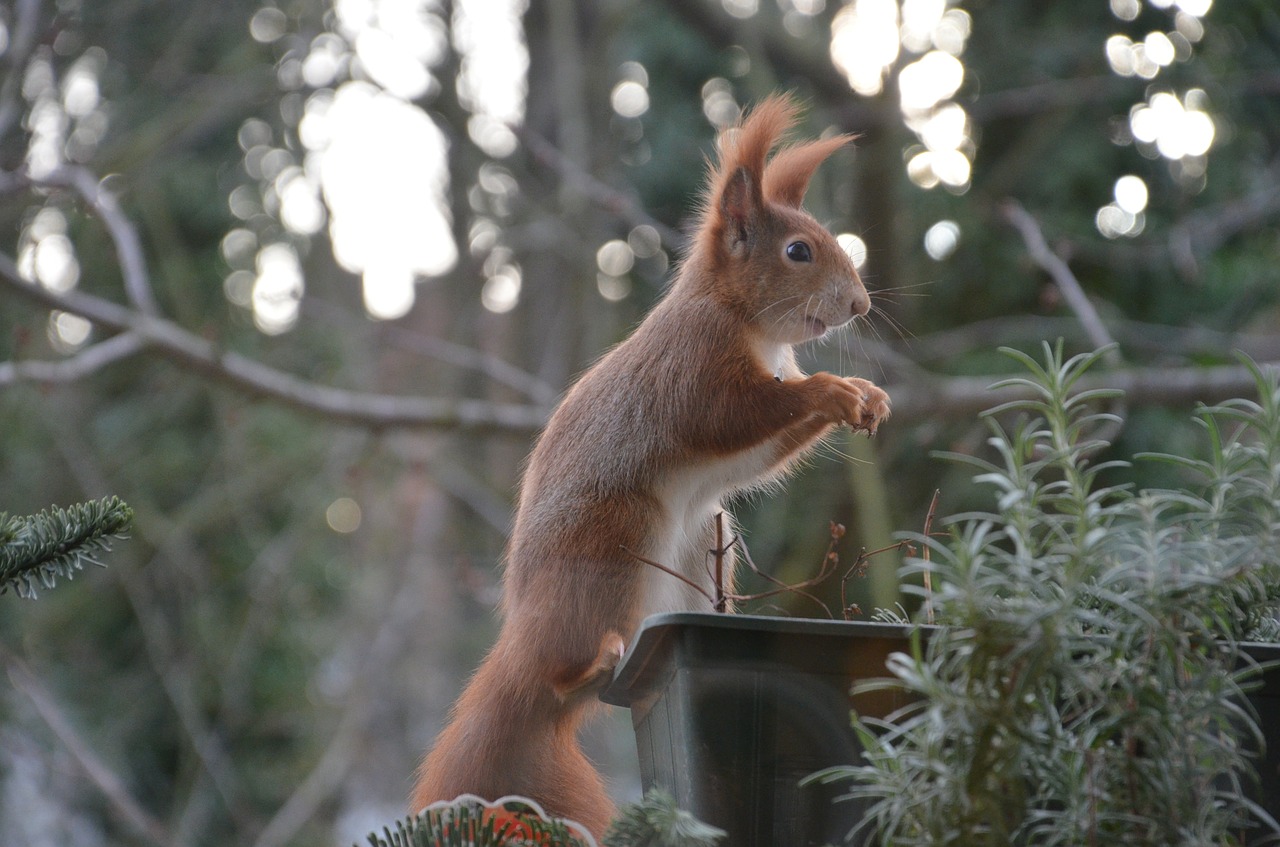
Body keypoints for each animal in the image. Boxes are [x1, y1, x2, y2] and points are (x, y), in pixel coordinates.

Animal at [409, 95, 890, 839]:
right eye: (798, 251)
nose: (860, 305)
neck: (745, 321)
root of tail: (519, 650)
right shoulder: (694, 371)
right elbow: (734, 416)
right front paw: (832, 391)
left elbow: (763, 452)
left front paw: (866, 395)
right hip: (615, 542)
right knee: (564, 672)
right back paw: (589, 666)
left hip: (704, 547)